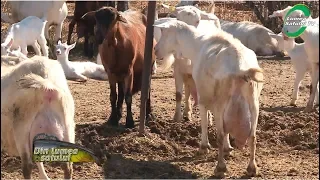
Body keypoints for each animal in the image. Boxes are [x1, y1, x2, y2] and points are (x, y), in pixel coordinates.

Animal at [154, 19, 264, 176]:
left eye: (164, 32)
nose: (155, 50)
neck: (196, 44)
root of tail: (242, 70)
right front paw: (228, 148)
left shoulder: (203, 97)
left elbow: (205, 122)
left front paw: (204, 147)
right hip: (253, 103)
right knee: (253, 137)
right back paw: (252, 168)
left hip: (221, 104)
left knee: (220, 135)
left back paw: (220, 167)